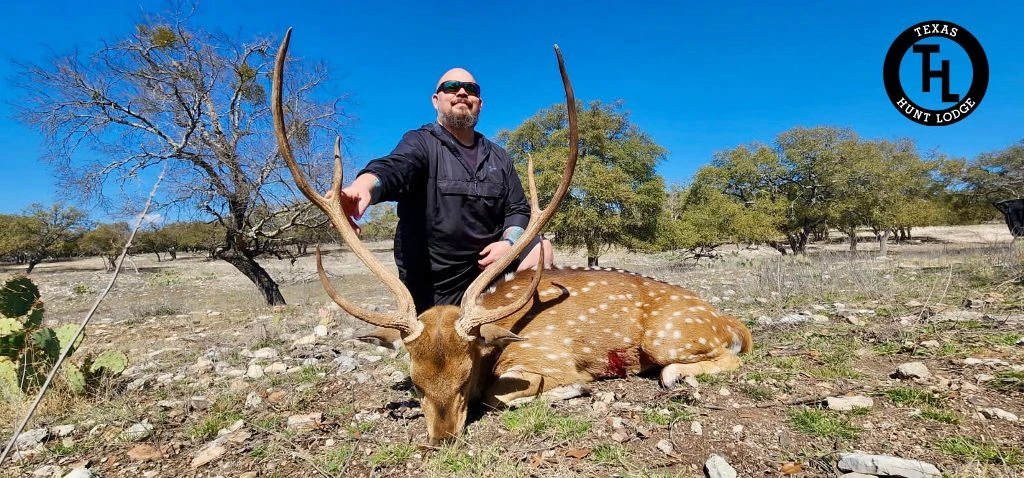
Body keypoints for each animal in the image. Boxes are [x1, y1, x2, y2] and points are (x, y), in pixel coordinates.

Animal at [272, 29, 754, 446]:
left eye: (465, 375)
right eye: (416, 380)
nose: (442, 440)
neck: (496, 345)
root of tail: (730, 321)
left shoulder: (546, 358)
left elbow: (504, 395)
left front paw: (574, 390)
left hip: (670, 336)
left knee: (709, 361)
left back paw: (675, 377)